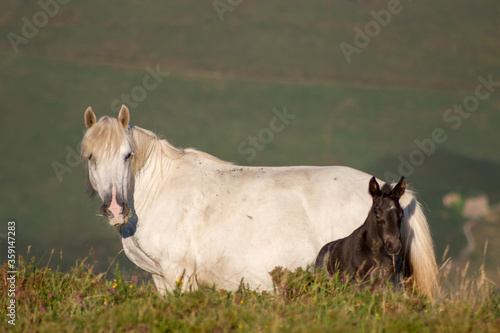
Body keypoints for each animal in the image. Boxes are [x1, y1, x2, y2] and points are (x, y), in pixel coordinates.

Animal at [81, 105, 438, 296]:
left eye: (128, 155)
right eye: (90, 157)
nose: (115, 208)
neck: (161, 187)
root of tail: (394, 195)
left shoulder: (178, 273)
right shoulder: (160, 278)